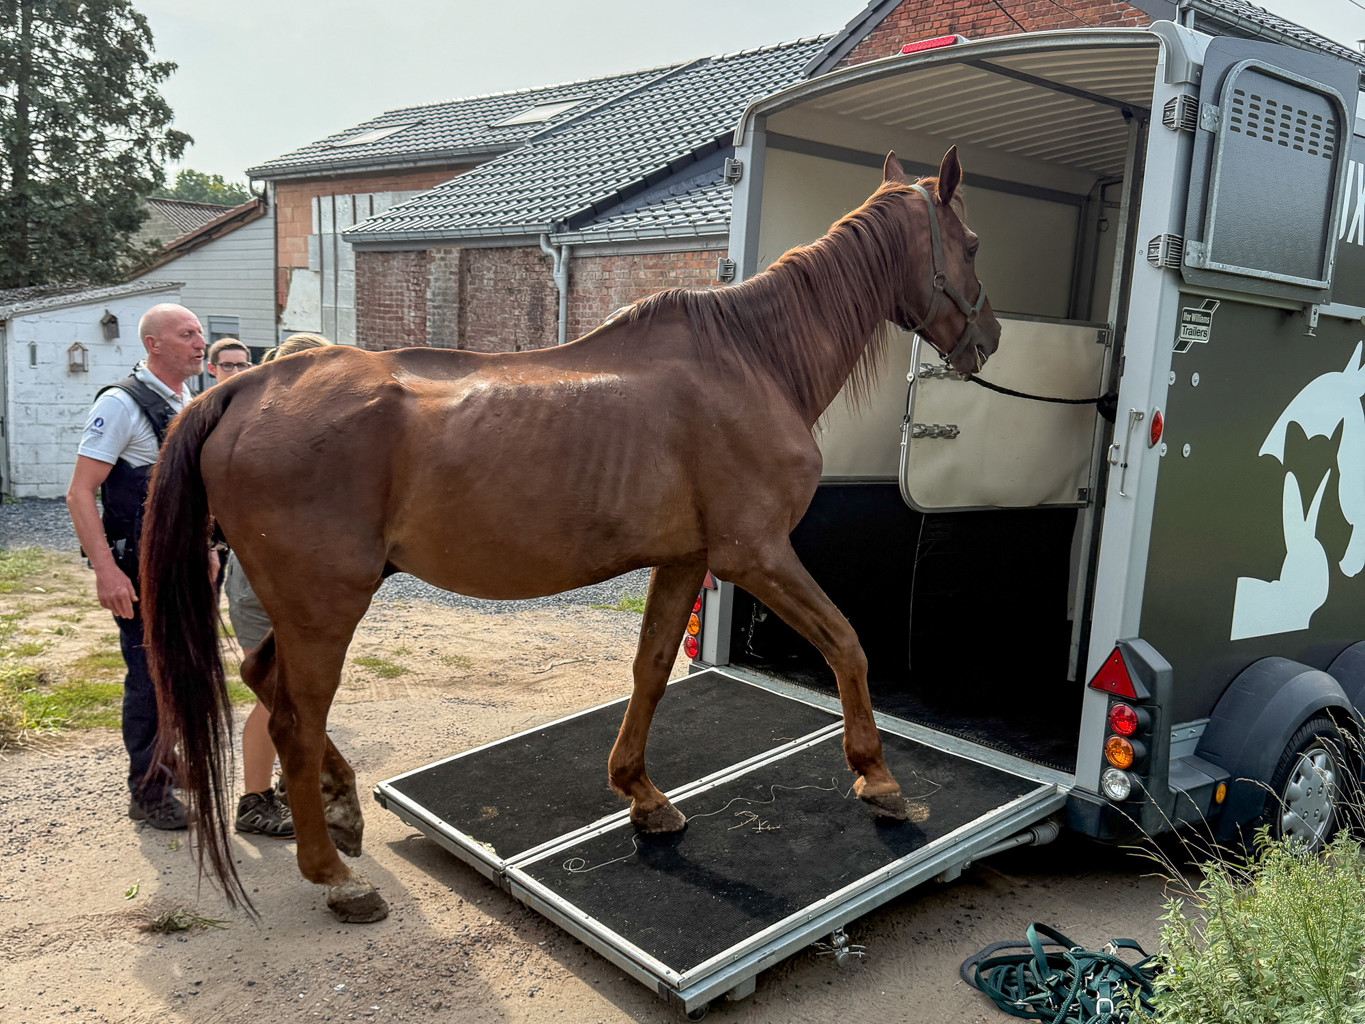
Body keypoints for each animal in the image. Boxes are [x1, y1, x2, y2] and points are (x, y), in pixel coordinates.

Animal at [139, 147, 1000, 923]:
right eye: (971, 242)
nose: (987, 340)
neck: (750, 361)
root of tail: (246, 385)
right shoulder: (755, 555)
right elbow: (847, 644)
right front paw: (877, 780)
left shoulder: (685, 561)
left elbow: (650, 670)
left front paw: (643, 796)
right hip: (327, 604)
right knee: (295, 717)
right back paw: (337, 877)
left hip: (310, 601)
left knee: (263, 677)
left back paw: (344, 806)